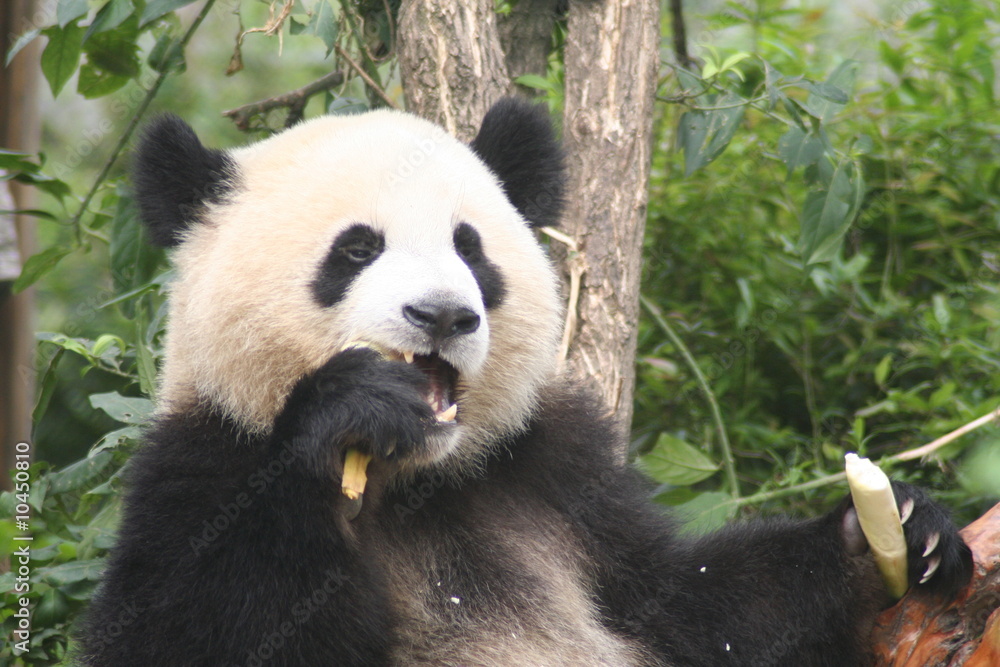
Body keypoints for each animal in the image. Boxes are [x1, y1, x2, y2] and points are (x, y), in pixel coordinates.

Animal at [80, 98, 972, 666]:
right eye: (357, 249)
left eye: (470, 247)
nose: (443, 314)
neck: (418, 484)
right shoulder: (203, 464)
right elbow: (191, 636)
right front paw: (349, 410)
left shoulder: (552, 475)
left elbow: (692, 609)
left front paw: (893, 530)